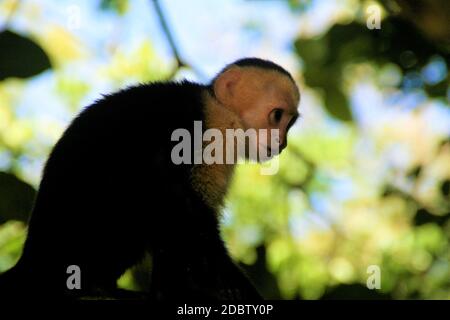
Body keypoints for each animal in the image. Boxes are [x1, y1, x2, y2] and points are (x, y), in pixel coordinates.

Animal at [1, 57, 302, 300]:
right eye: (276, 116)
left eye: (289, 123)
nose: (282, 143)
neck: (221, 109)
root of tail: (32, 259)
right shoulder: (210, 130)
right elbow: (183, 206)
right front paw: (231, 288)